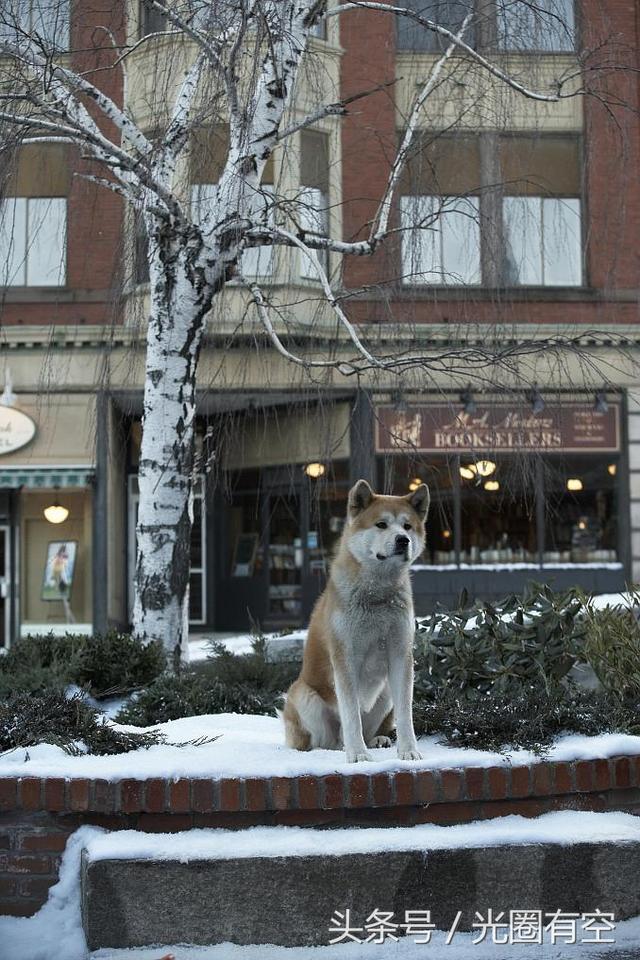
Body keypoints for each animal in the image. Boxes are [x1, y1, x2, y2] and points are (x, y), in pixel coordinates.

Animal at [282, 480, 428, 764]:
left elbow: (405, 714)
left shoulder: (400, 654)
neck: (377, 597)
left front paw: (408, 750)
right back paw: (335, 749)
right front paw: (358, 755)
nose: (403, 540)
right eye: (381, 524)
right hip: (304, 696)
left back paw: (376, 740)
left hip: (384, 694)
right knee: (328, 740)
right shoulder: (345, 657)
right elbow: (351, 715)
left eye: (407, 526)